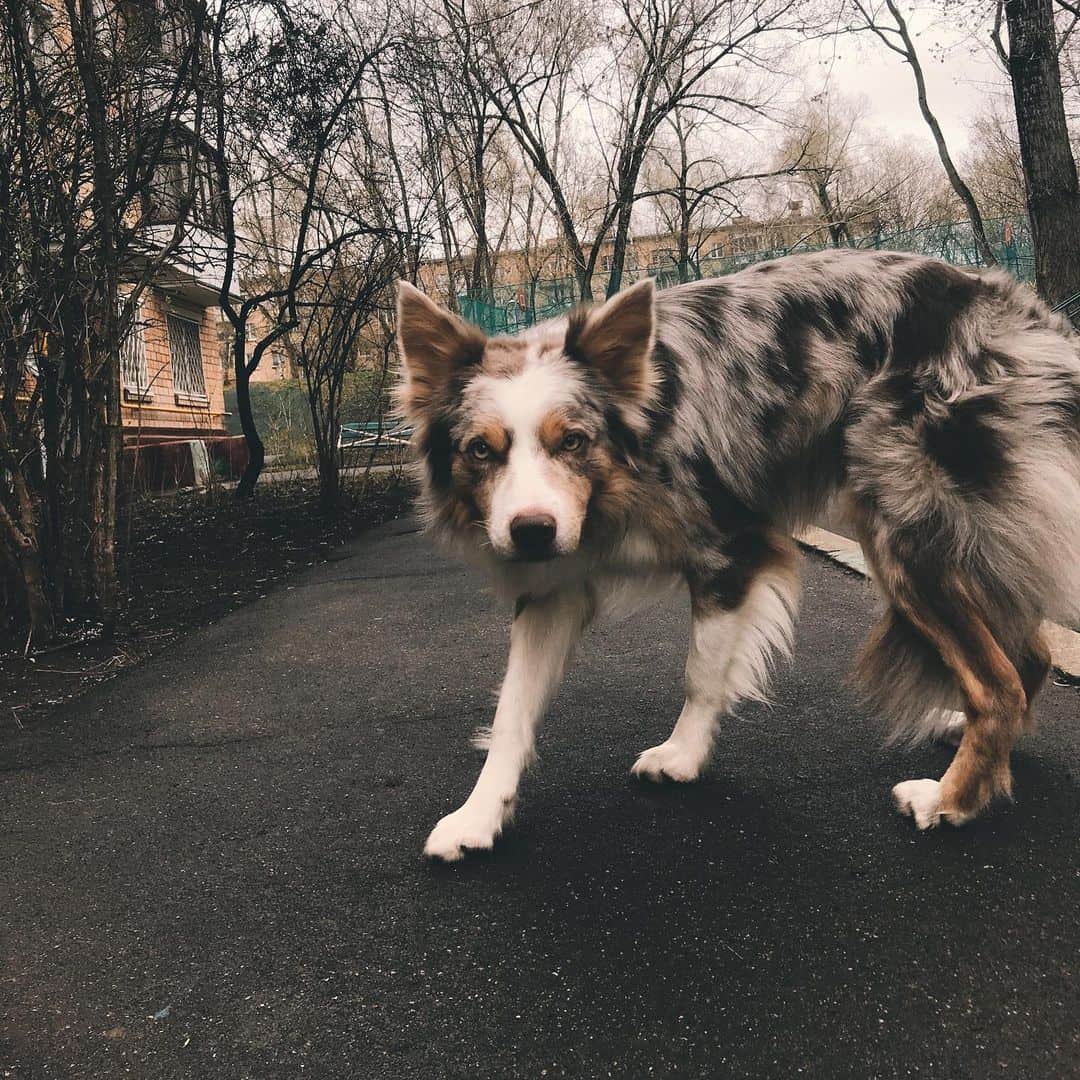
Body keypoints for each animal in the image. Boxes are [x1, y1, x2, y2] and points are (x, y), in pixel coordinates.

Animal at [395, 250, 1080, 859]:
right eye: (480, 450)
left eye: (573, 441)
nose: (531, 531)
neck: (630, 463)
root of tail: (1028, 314)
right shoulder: (551, 587)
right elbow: (511, 709)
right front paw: (479, 815)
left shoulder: (732, 548)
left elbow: (701, 671)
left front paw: (681, 757)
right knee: (1030, 653)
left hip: (903, 529)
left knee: (998, 684)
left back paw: (950, 802)